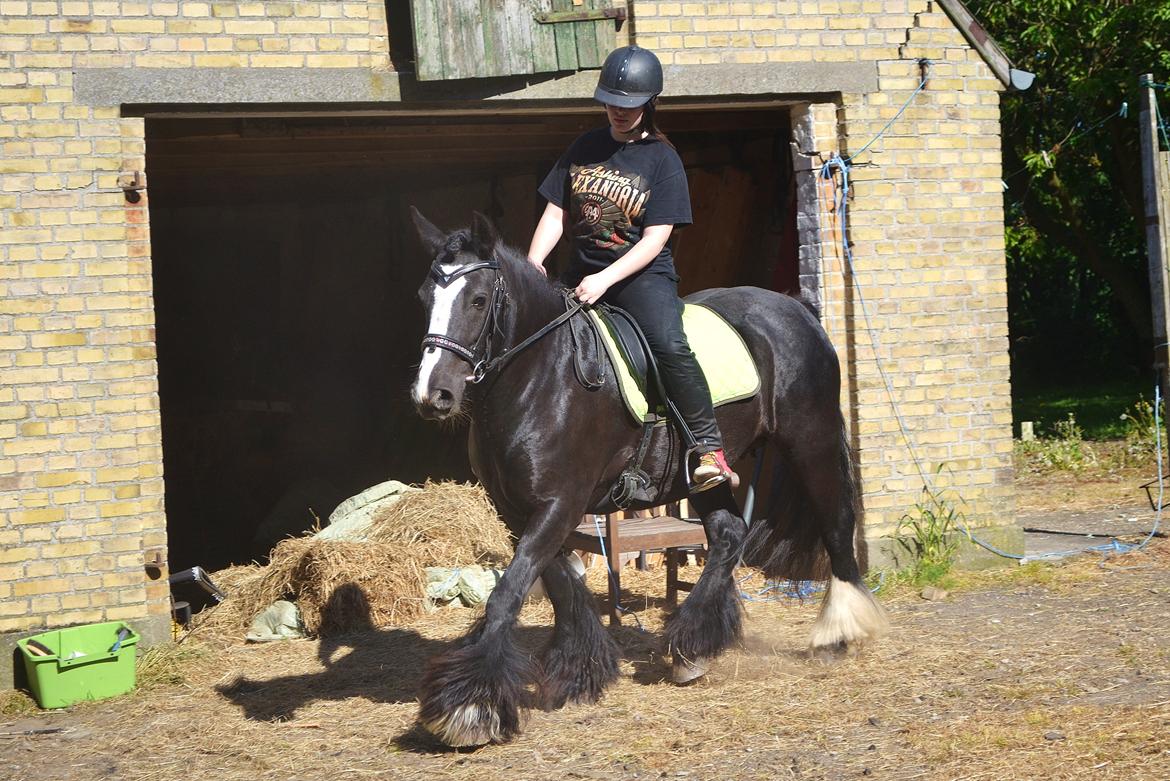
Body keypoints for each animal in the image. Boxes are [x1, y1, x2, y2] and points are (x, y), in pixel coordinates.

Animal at [407, 206, 879, 743]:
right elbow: (559, 584)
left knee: (836, 528)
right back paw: (692, 649)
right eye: (424, 298)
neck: (540, 377)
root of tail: (797, 310)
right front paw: (579, 670)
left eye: (478, 299)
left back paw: (838, 634)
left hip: (811, 442)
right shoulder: (520, 511)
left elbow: (508, 594)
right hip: (701, 474)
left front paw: (470, 706)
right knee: (728, 535)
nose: (433, 395)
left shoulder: (559, 504)